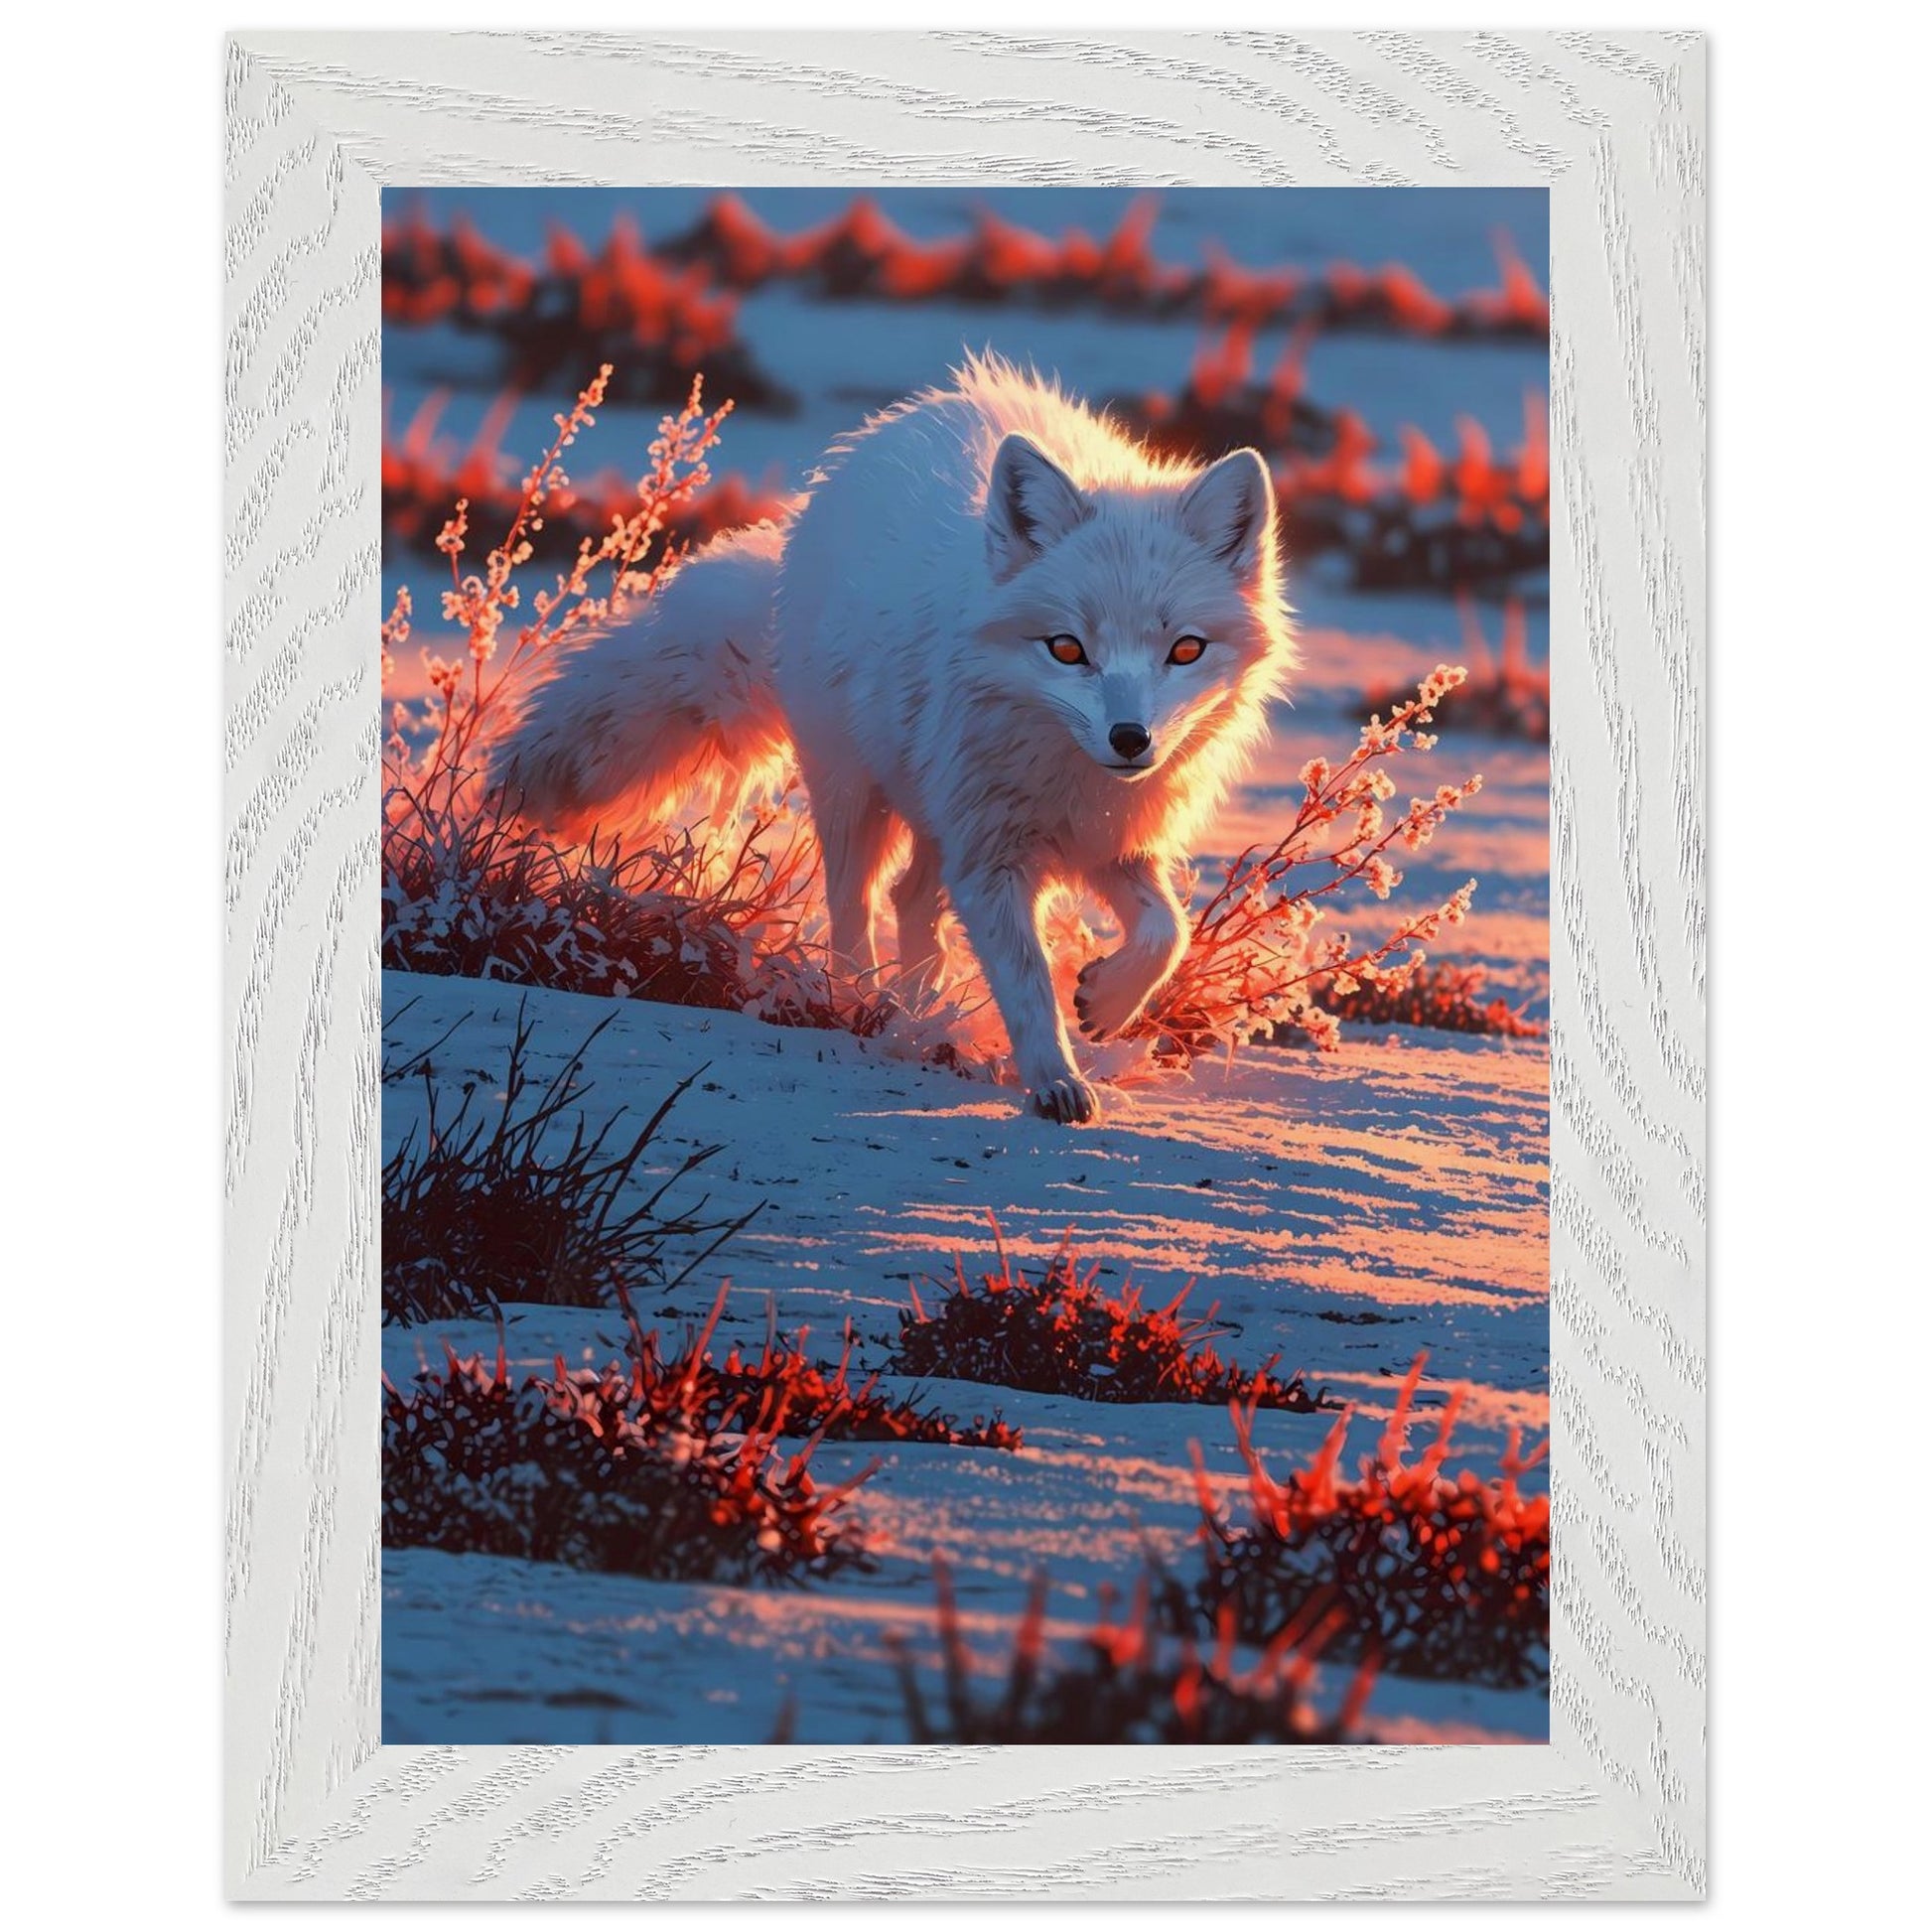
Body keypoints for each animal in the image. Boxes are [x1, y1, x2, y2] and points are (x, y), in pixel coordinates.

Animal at [495, 354, 1297, 1123]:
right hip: (857, 797)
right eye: (1067, 649)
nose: (1130, 739)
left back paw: (924, 1012)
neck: (1068, 774)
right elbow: (1028, 984)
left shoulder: (1109, 839)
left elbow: (1168, 930)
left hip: (934, 814)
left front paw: (1105, 1000)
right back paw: (861, 1003)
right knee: (855, 906)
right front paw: (1054, 1082)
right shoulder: (992, 857)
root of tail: (889, 431)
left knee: (913, 903)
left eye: (1185, 650)